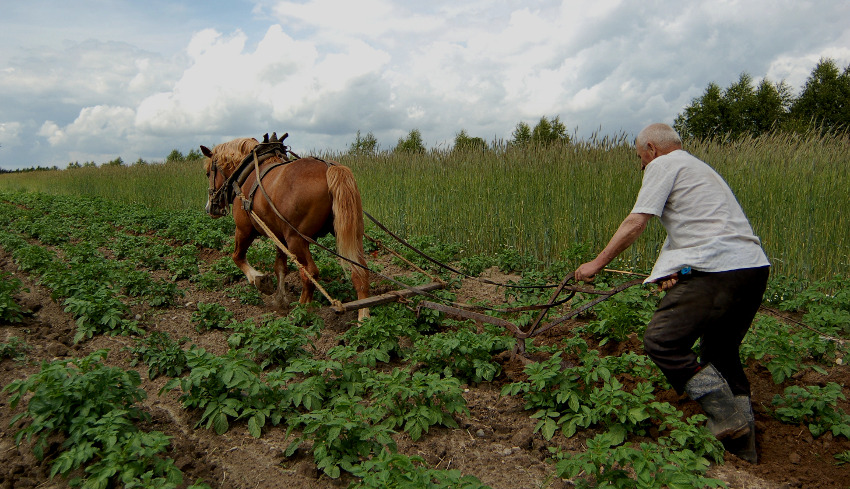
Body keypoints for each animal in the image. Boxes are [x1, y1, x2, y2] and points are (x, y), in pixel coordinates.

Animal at [202, 132, 372, 320]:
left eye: (208, 173)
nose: (210, 208)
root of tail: (329, 168)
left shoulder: (244, 229)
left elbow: (237, 257)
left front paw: (259, 280)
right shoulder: (279, 236)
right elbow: (280, 268)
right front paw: (280, 299)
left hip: (296, 238)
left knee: (310, 273)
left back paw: (299, 312)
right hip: (352, 233)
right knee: (359, 271)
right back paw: (363, 318)